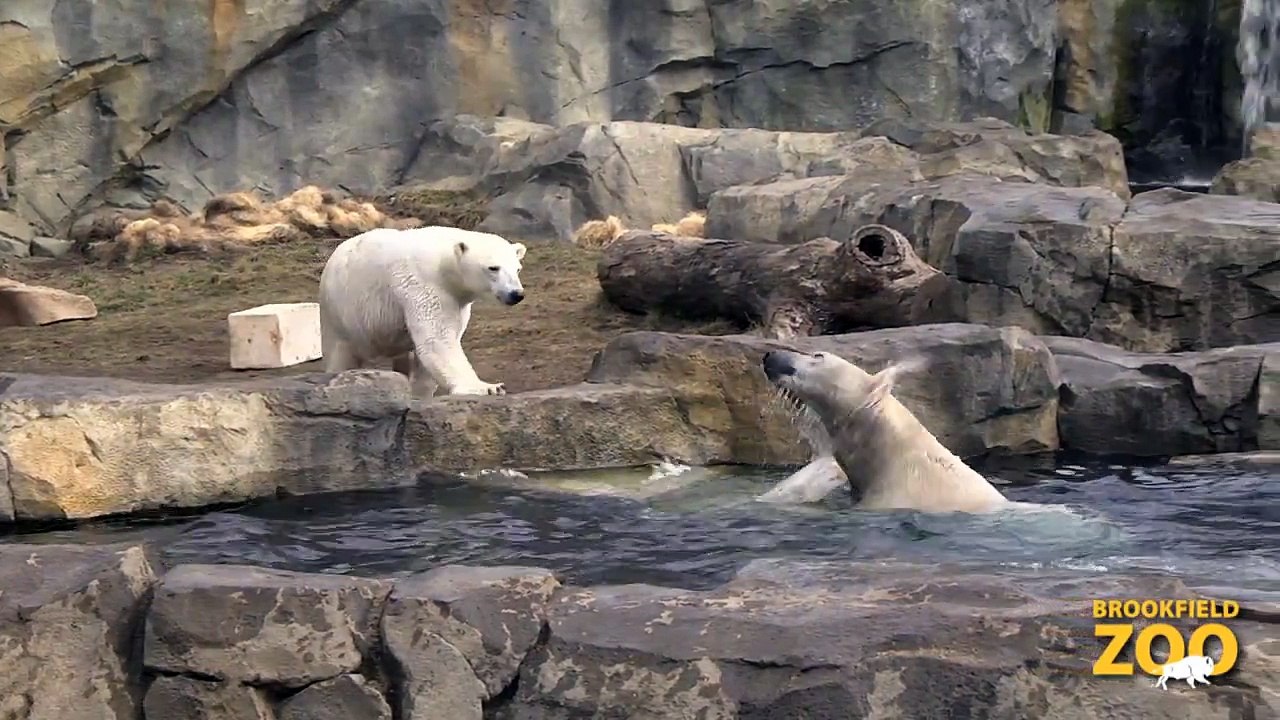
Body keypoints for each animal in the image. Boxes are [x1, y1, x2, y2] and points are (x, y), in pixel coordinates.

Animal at [318, 225, 526, 397]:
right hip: (339, 313)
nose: (516, 294)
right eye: (493, 268)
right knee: (340, 354)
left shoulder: (457, 299)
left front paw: (420, 394)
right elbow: (438, 341)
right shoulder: (424, 285)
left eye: (517, 269)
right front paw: (489, 387)